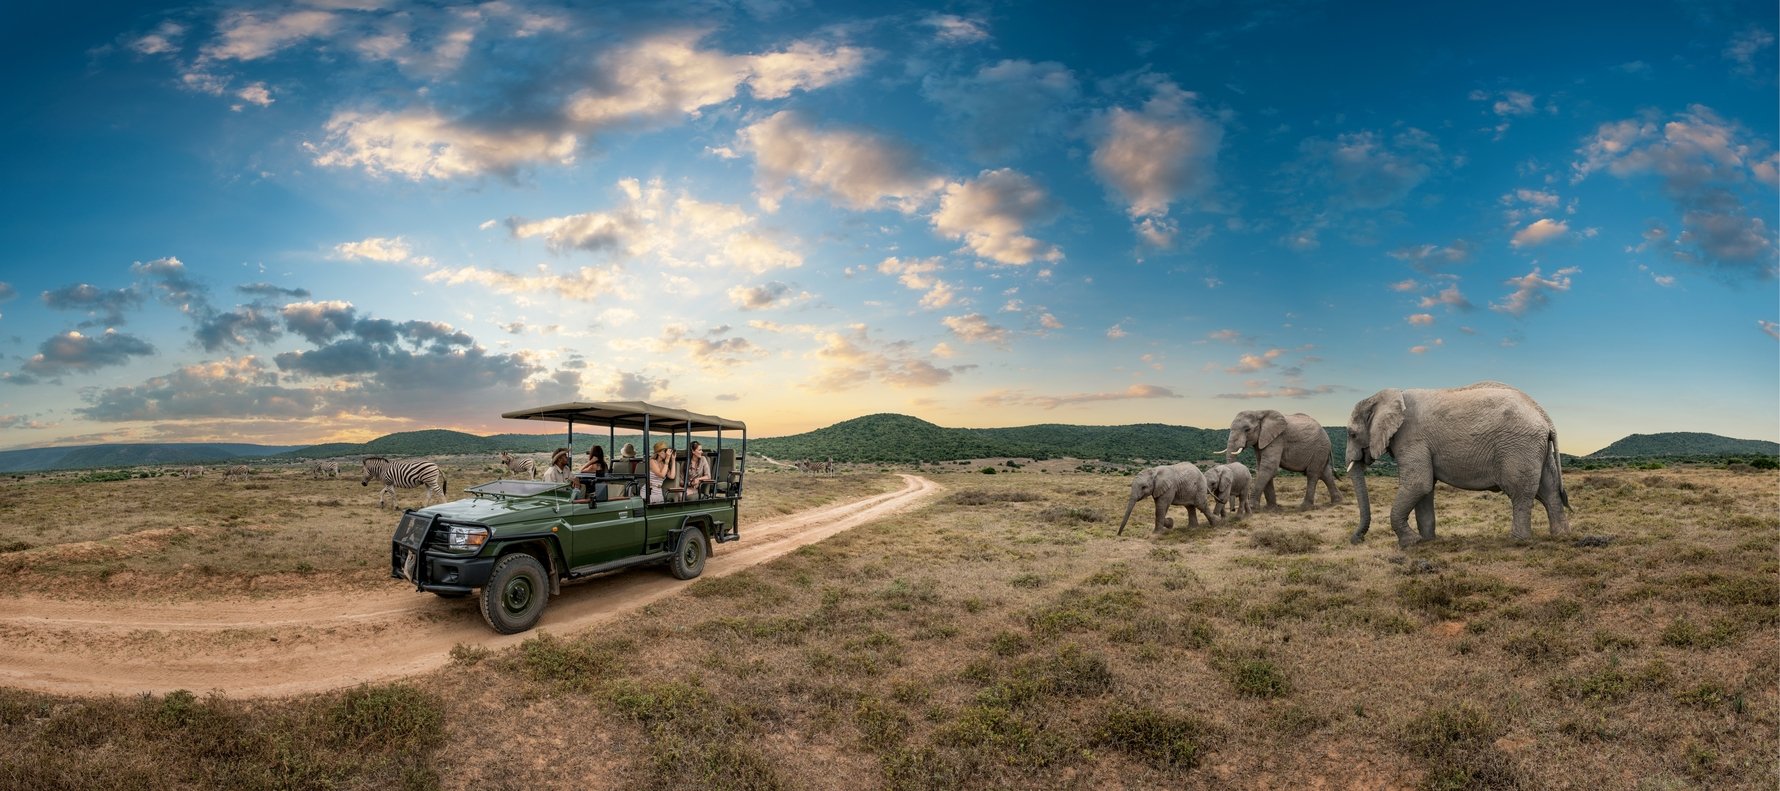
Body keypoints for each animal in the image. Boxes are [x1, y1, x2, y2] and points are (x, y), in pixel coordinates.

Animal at [1345, 381, 1573, 545]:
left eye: (1352, 434)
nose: (1357, 540)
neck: (1387, 396)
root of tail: (1544, 417)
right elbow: (1425, 489)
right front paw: (1426, 541)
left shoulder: (1411, 439)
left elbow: (1418, 484)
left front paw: (1410, 543)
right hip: (1538, 449)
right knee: (1549, 490)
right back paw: (1560, 536)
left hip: (1519, 446)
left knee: (1520, 492)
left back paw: (1518, 541)